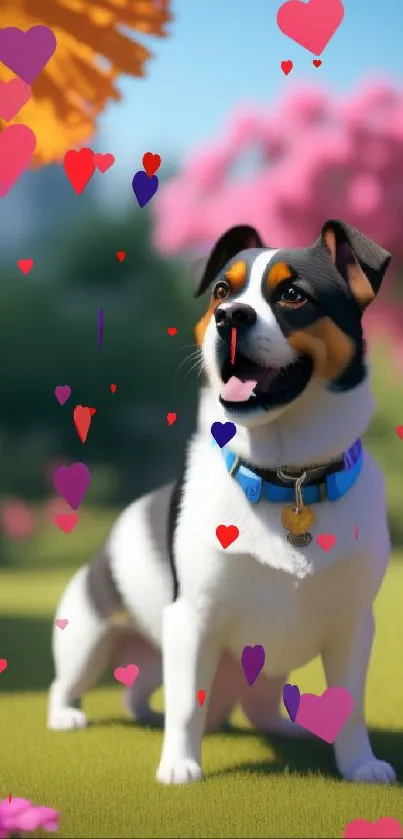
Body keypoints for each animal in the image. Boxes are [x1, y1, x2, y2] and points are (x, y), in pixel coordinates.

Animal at [48, 217, 398, 788]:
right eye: (220, 292)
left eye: (293, 294)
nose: (230, 316)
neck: (286, 475)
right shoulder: (193, 618)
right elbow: (187, 702)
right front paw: (180, 765)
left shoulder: (353, 625)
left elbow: (350, 703)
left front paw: (359, 764)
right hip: (88, 636)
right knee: (71, 681)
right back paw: (66, 715)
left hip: (243, 668)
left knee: (239, 703)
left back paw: (286, 728)